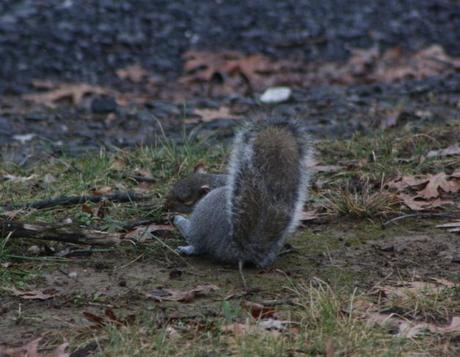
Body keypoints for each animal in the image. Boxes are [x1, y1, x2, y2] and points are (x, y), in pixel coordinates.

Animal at [172, 117, 312, 268]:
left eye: (185, 200)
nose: (166, 207)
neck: (214, 182)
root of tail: (239, 251)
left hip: (204, 215)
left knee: (198, 243)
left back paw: (183, 232)